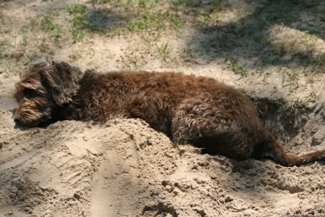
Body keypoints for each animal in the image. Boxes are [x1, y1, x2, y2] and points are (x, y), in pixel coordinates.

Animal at [14, 59, 325, 166]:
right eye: (16, 94)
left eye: (30, 92)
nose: (15, 119)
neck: (80, 89)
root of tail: (261, 131)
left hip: (188, 117)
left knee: (188, 148)